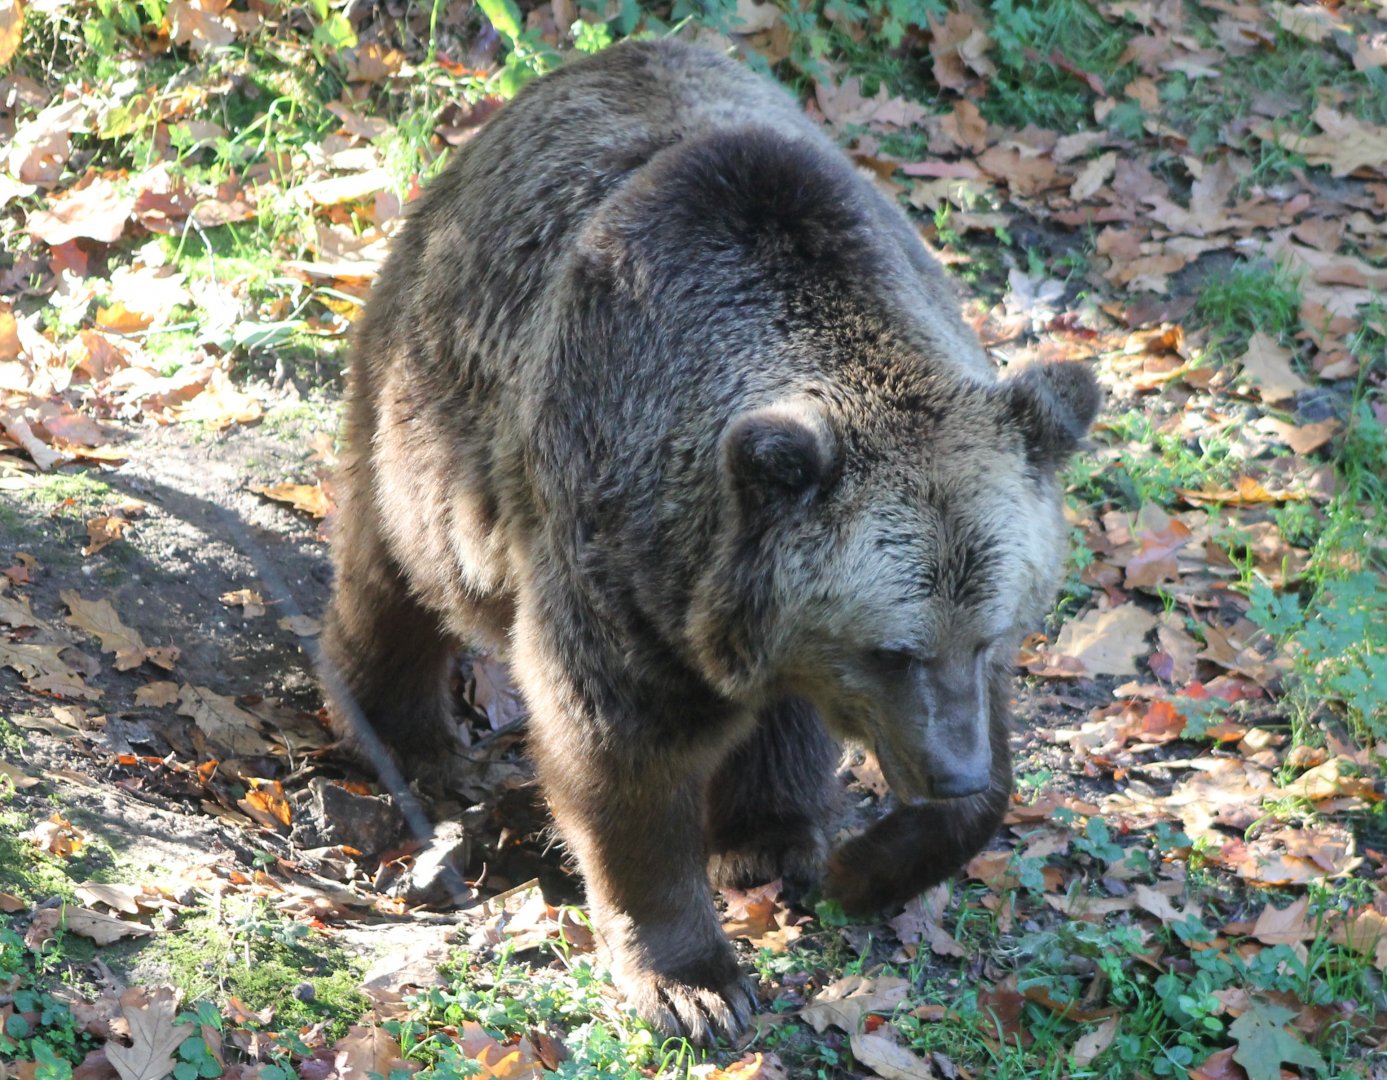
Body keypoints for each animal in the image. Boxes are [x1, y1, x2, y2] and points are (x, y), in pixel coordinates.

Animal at [321, 38, 1100, 1045]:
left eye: (993, 633)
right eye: (890, 650)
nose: (947, 771)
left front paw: (867, 864)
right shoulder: (614, 535)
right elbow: (622, 755)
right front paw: (694, 982)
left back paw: (769, 837)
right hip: (432, 394)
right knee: (397, 566)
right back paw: (402, 732)